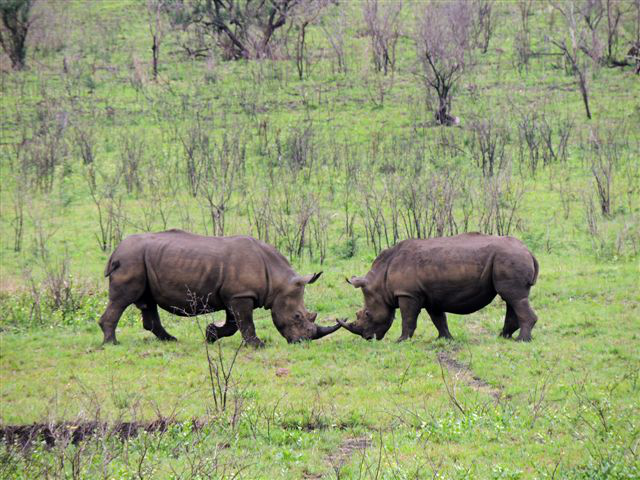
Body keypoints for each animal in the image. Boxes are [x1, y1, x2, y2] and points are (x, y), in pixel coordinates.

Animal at [98, 230, 341, 347]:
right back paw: (112, 342)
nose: (302, 341)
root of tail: (116, 252)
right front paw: (257, 345)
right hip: (131, 261)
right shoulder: (241, 295)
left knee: (148, 301)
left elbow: (234, 324)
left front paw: (211, 334)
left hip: (140, 260)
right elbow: (246, 322)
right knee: (123, 299)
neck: (277, 281)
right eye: (298, 316)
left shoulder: (234, 295)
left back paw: (170, 340)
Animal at [338, 233, 539, 342]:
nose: (367, 337)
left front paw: (401, 340)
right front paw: (445, 339)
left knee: (514, 297)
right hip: (508, 258)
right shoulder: (430, 295)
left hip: (509, 257)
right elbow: (439, 319)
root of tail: (528, 251)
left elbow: (408, 319)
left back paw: (522, 340)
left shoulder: (408, 294)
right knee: (512, 298)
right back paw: (503, 337)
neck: (380, 280)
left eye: (366, 314)